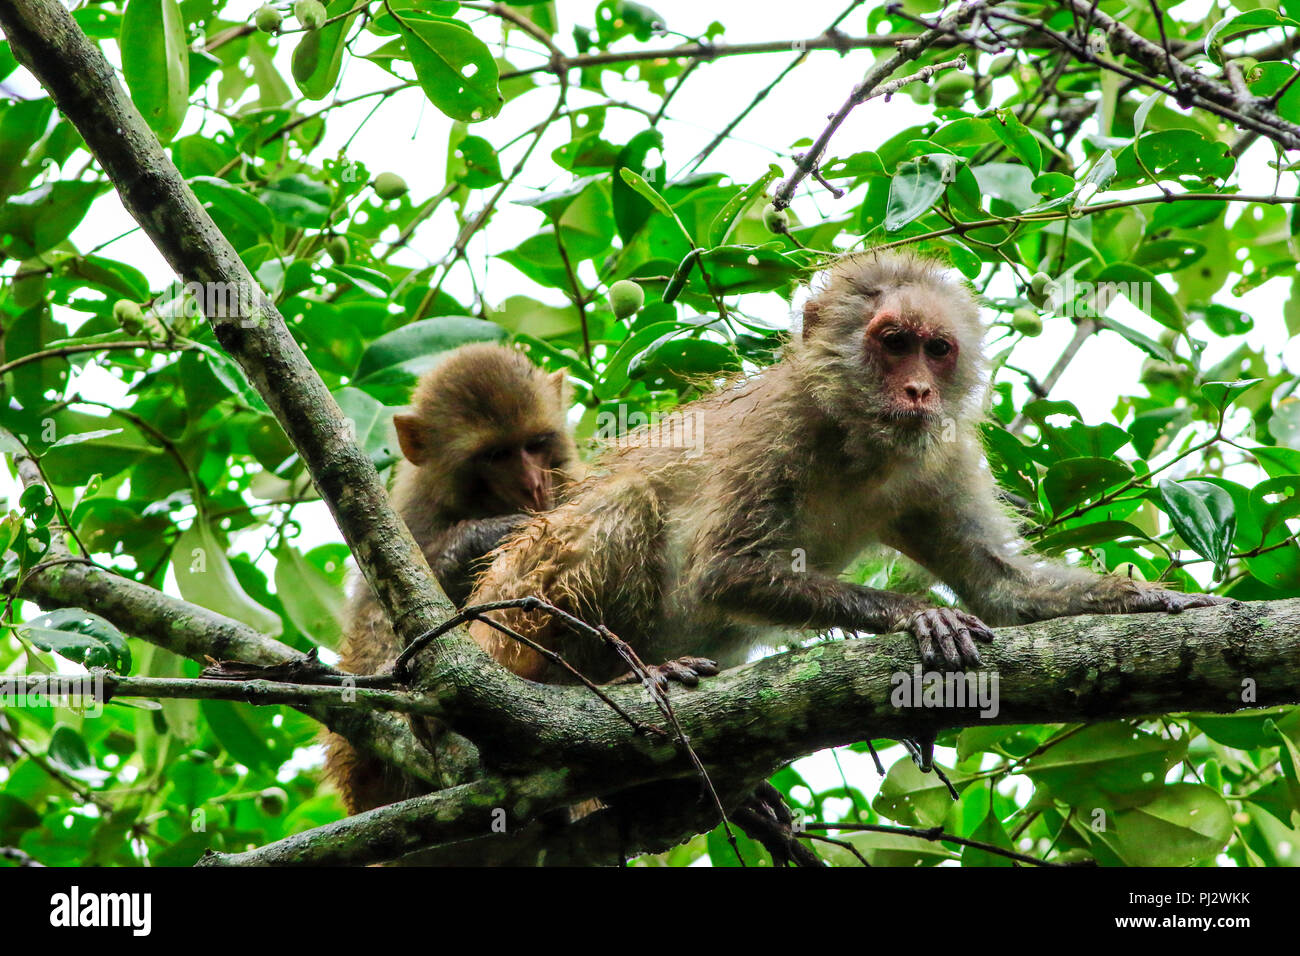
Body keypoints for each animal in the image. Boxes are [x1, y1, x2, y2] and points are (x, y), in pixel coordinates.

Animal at [467, 254, 1227, 686]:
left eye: (936, 349)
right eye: (894, 342)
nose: (918, 390)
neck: (859, 439)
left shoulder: (940, 456)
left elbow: (1001, 588)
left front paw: (1152, 600)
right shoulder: (777, 431)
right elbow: (722, 570)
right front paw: (918, 613)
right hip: (517, 614)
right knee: (626, 502)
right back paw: (617, 672)